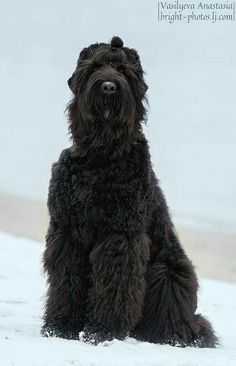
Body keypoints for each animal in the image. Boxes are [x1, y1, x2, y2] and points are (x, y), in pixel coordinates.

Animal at [42, 37, 218, 348]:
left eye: (124, 70)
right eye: (95, 67)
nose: (108, 87)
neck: (100, 158)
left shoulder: (120, 235)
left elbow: (115, 284)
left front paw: (102, 331)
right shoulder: (66, 231)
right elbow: (67, 281)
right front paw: (59, 326)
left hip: (167, 273)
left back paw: (176, 334)